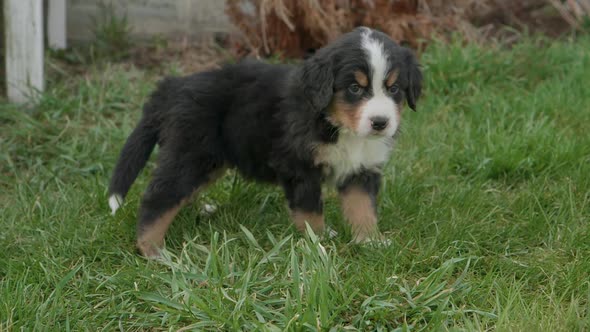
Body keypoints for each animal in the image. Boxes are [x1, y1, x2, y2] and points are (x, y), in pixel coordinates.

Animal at [108, 27, 424, 258]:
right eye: (355, 88)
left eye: (394, 88)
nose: (380, 122)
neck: (336, 124)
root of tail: (171, 87)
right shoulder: (300, 168)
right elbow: (310, 212)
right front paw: (318, 244)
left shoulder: (361, 169)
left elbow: (363, 208)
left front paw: (370, 241)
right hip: (190, 155)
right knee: (158, 196)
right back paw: (153, 251)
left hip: (207, 161)